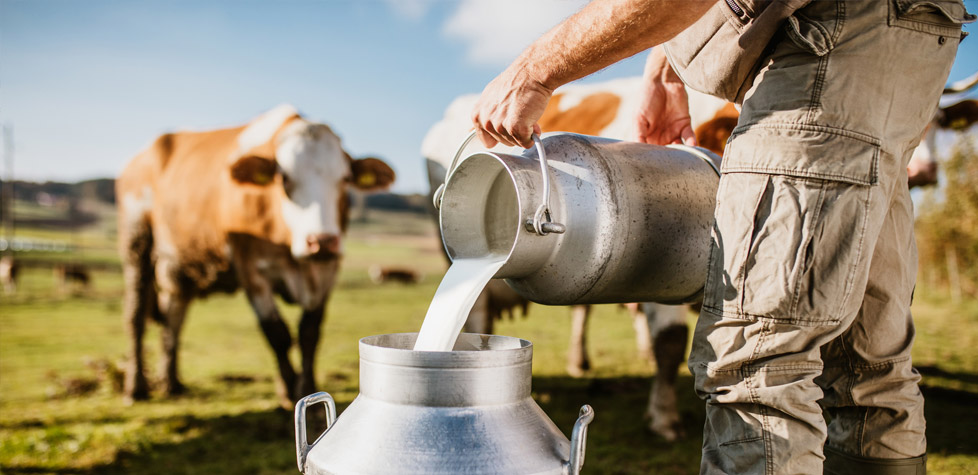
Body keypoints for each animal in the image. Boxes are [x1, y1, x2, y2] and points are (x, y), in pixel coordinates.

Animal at [120, 106, 394, 408]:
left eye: (345, 179)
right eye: (284, 178)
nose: (321, 241)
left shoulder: (328, 269)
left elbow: (309, 332)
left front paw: (307, 386)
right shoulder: (251, 269)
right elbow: (277, 333)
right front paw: (289, 391)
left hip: (179, 267)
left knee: (174, 318)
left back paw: (171, 382)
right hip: (137, 243)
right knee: (135, 316)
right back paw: (136, 387)